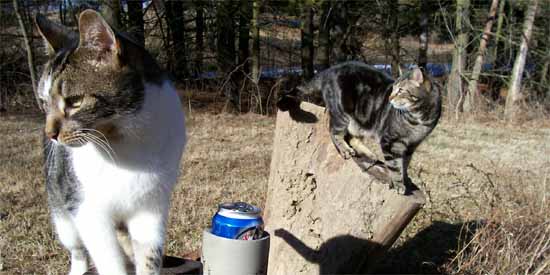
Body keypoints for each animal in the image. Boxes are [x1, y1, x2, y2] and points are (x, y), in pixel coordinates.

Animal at [37, 9, 188, 274]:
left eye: (75, 101)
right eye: (43, 103)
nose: (50, 134)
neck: (124, 140)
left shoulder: (152, 207)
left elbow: (149, 255)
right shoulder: (86, 209)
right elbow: (108, 258)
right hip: (63, 214)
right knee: (77, 250)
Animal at [278, 61, 442, 195]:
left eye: (400, 90)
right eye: (393, 89)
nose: (390, 98)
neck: (419, 119)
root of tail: (329, 70)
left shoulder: (412, 145)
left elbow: (405, 163)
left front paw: (406, 179)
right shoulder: (390, 141)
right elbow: (395, 165)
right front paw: (398, 184)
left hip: (359, 120)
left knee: (351, 137)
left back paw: (368, 154)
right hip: (342, 113)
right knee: (334, 132)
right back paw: (345, 149)